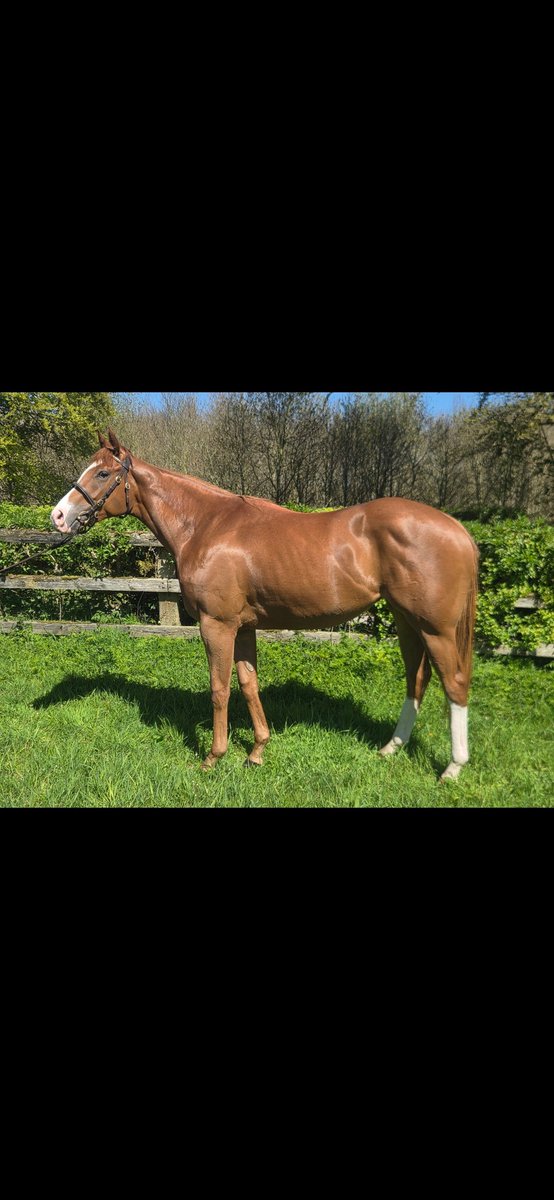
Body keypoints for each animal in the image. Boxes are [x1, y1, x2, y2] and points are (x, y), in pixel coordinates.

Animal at [51, 430, 479, 781]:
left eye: (102, 474)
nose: (58, 516)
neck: (206, 525)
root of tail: (457, 529)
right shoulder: (243, 626)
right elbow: (248, 683)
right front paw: (256, 751)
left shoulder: (217, 625)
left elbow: (219, 688)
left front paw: (213, 757)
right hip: (409, 623)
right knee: (417, 680)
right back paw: (391, 748)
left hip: (436, 629)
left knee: (455, 684)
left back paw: (453, 768)